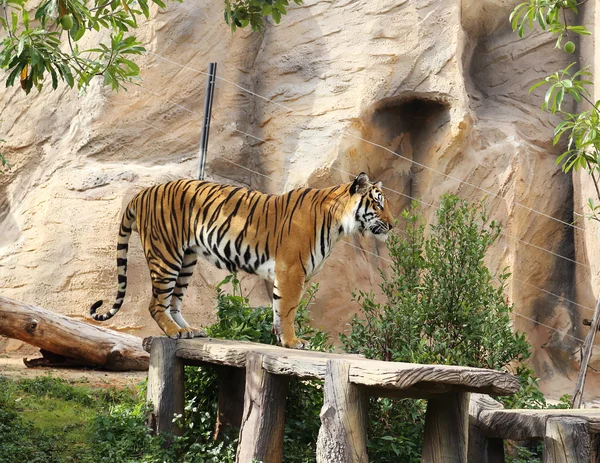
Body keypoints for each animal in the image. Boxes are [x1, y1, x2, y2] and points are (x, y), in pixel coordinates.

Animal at [90, 172, 394, 350]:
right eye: (378, 204)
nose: (392, 224)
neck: (338, 224)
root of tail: (143, 192)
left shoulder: (287, 274)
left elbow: (278, 308)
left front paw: (280, 340)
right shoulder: (291, 271)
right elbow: (288, 310)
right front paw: (293, 342)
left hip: (186, 260)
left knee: (173, 301)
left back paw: (189, 330)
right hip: (166, 255)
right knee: (155, 303)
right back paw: (175, 333)